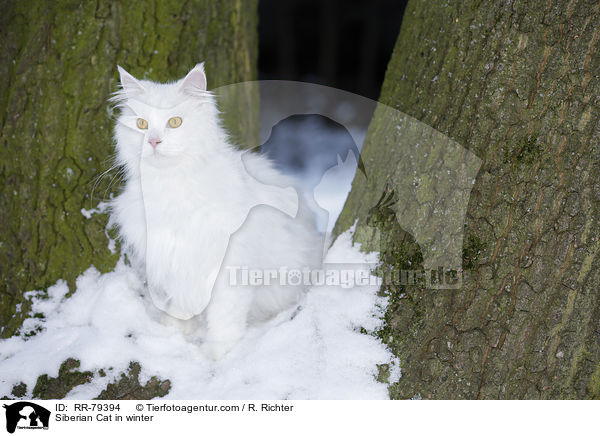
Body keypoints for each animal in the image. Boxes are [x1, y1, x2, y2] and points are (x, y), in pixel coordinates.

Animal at [109, 63, 322, 358]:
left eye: (174, 122)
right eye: (142, 124)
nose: (153, 141)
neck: (171, 186)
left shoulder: (228, 268)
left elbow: (224, 319)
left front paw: (218, 355)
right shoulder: (173, 259)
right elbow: (180, 303)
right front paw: (178, 330)